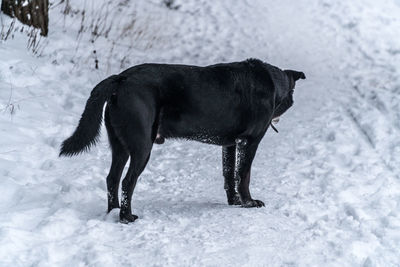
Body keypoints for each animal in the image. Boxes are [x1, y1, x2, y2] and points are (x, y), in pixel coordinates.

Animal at [59, 59, 304, 224]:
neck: (273, 83)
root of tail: (121, 78)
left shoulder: (230, 144)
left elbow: (228, 174)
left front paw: (234, 201)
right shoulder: (249, 142)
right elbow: (244, 174)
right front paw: (249, 202)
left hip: (120, 145)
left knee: (112, 178)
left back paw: (113, 211)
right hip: (142, 145)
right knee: (128, 181)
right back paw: (127, 216)